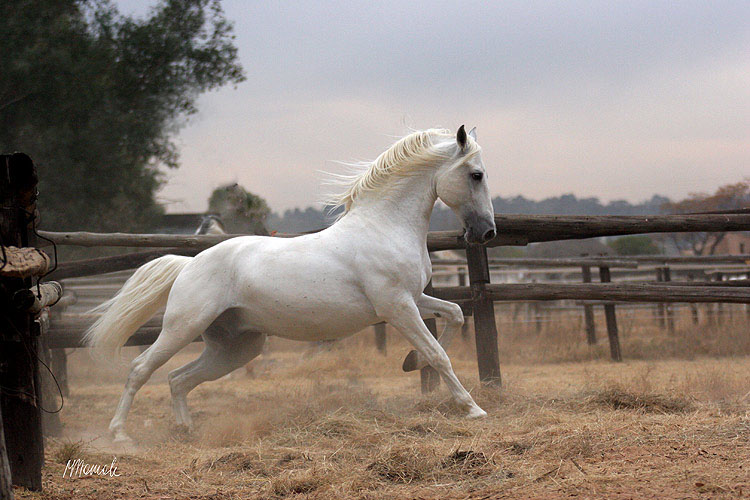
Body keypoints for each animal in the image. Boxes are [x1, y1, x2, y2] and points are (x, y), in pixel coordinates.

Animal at [86, 127, 500, 444]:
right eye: (476, 175)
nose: (486, 232)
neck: (384, 227)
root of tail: (189, 264)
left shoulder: (412, 299)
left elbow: (455, 315)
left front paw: (410, 363)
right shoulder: (396, 306)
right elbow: (438, 353)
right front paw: (473, 409)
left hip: (236, 346)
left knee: (178, 379)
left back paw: (186, 430)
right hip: (182, 327)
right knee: (141, 369)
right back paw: (119, 434)